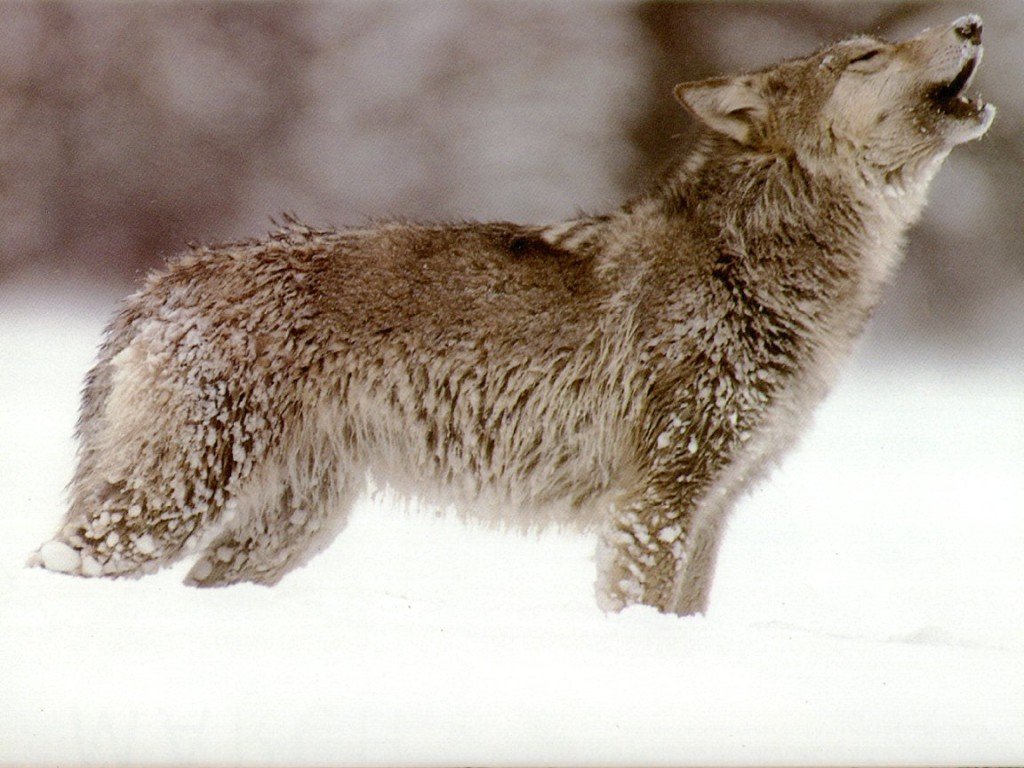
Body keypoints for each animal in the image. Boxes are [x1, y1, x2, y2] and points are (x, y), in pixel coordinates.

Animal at [31, 16, 994, 616]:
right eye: (864, 58)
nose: (977, 22)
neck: (757, 267)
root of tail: (162, 280)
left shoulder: (714, 505)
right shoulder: (659, 499)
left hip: (287, 529)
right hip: (173, 506)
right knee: (55, 565)